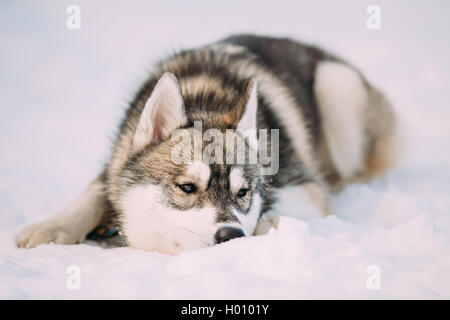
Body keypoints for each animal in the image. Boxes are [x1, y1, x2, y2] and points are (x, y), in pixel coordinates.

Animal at [15, 35, 396, 254]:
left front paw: (268, 225)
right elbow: (93, 193)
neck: (204, 100)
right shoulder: (115, 164)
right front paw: (50, 228)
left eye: (242, 193)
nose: (231, 236)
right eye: (187, 187)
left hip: (338, 87)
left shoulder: (305, 186)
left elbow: (281, 207)